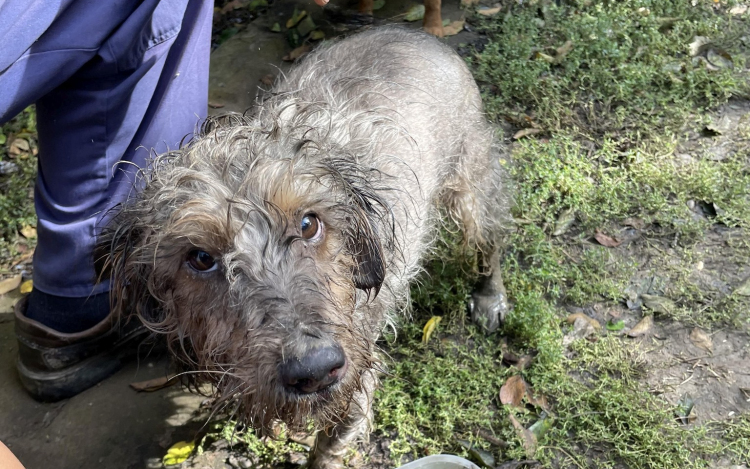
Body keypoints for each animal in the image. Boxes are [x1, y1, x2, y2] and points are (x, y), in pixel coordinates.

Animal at [98, 26, 510, 468]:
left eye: (309, 223)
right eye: (201, 258)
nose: (314, 369)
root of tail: (416, 33)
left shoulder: (356, 381)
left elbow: (329, 446)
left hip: (472, 188)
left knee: (491, 241)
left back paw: (490, 297)